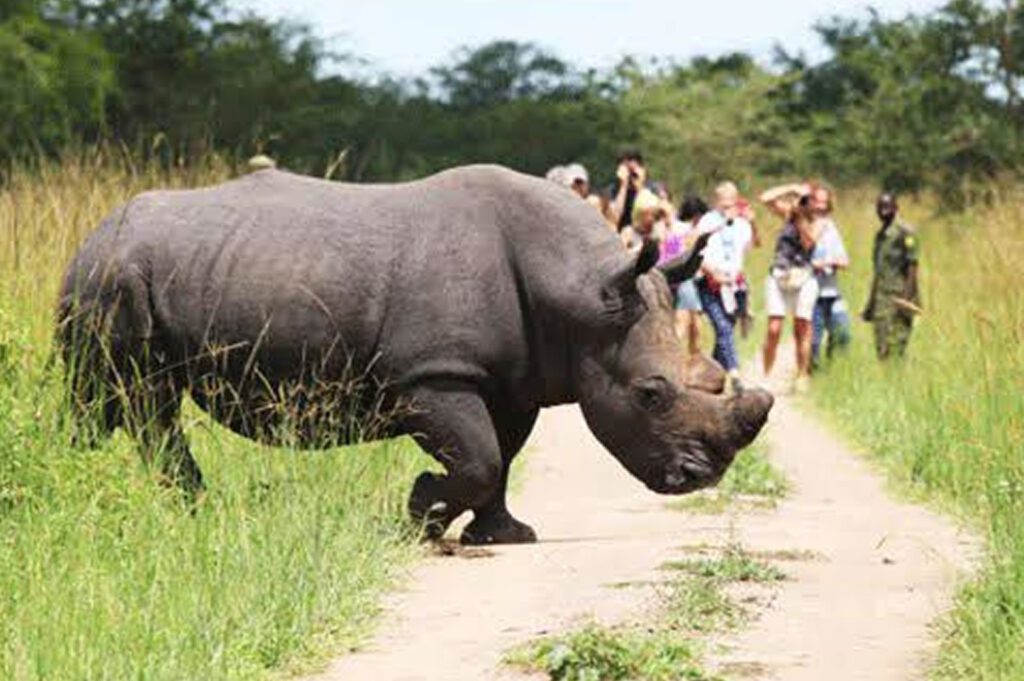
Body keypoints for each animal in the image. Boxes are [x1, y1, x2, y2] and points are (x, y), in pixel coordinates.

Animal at [57, 165, 772, 545]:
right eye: (650, 395)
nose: (701, 476)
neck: (581, 294)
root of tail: (93, 232)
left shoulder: (512, 378)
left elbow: (500, 457)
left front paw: (502, 535)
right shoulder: (433, 374)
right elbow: (478, 457)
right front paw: (418, 513)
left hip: (130, 273)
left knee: (119, 406)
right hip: (114, 280)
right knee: (132, 400)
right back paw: (164, 504)